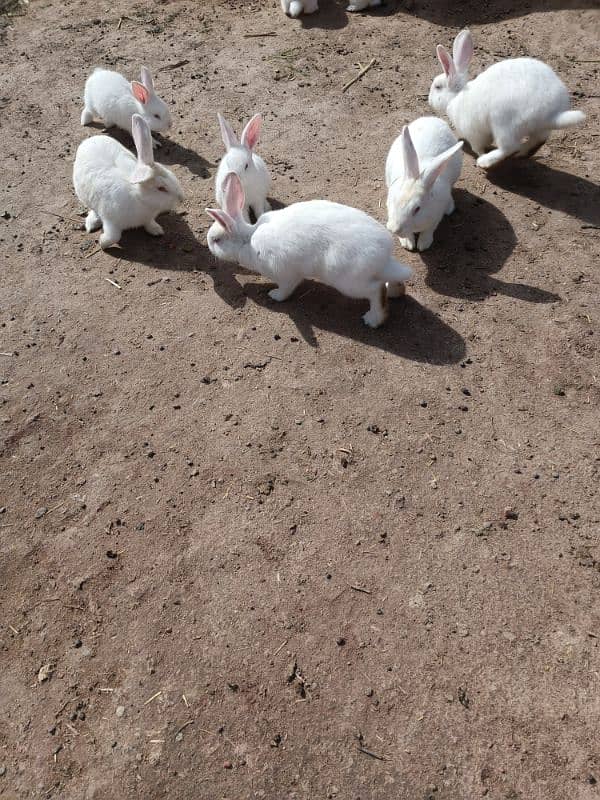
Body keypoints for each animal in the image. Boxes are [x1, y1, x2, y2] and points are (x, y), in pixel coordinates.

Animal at [72, 112, 183, 248]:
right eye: (161, 188)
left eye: (172, 174)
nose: (181, 198)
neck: (139, 198)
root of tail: (89, 141)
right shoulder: (111, 222)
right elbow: (113, 237)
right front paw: (102, 242)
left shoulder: (148, 218)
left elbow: (149, 223)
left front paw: (156, 230)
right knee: (93, 210)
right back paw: (92, 223)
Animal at [206, 173, 412, 326]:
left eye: (217, 240)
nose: (208, 244)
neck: (248, 240)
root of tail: (384, 253)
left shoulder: (286, 275)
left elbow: (286, 289)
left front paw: (274, 295)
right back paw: (395, 292)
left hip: (350, 282)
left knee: (376, 290)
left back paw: (373, 320)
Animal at [384, 116, 464, 250]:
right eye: (394, 201)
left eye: (417, 209)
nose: (394, 229)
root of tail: (432, 118)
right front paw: (408, 243)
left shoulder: (436, 218)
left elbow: (429, 230)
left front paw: (423, 244)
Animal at [428, 29, 588, 169]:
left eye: (437, 87)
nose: (429, 101)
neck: (457, 95)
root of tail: (552, 114)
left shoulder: (473, 133)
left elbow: (478, 147)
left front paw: (481, 155)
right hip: (537, 129)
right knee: (538, 140)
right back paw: (522, 154)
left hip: (504, 123)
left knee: (509, 147)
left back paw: (485, 162)